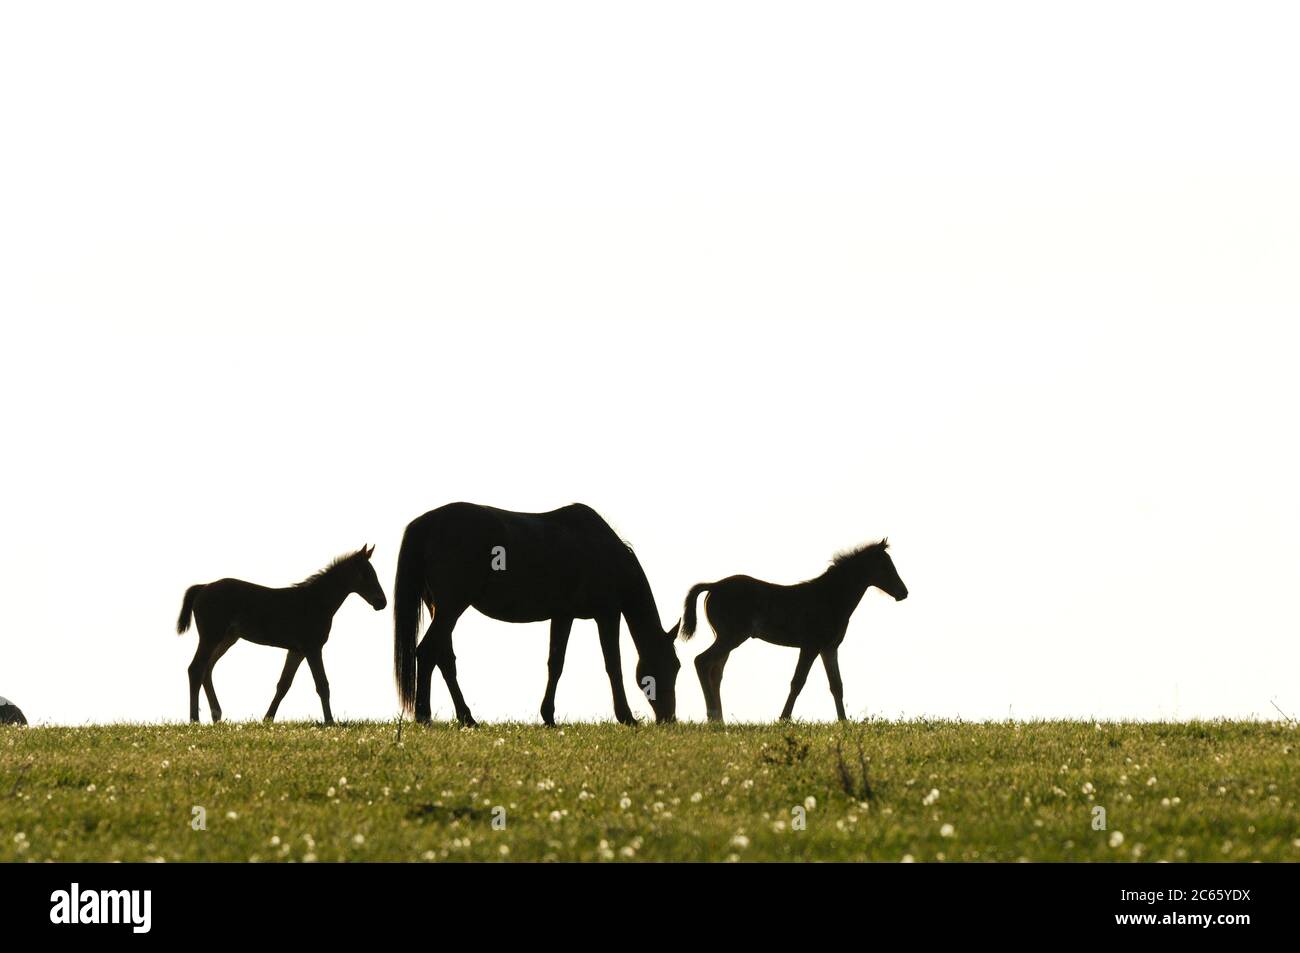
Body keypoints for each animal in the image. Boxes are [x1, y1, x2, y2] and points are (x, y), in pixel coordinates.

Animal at [176, 545, 387, 724]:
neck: (315, 601)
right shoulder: (312, 648)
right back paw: (195, 720)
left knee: (207, 669)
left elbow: (283, 685)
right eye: (366, 574)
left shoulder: (296, 651)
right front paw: (330, 722)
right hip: (211, 637)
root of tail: (203, 587)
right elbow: (322, 685)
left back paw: (216, 716)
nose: (382, 602)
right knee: (196, 669)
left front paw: (267, 719)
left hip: (227, 639)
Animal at [393, 502, 681, 726]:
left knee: (443, 659)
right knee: (427, 653)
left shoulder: (564, 616)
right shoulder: (608, 614)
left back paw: (466, 717)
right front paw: (626, 717)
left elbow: (556, 664)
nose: (669, 718)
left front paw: (548, 715)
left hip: (441, 610)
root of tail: (427, 524)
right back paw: (425, 716)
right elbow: (613, 665)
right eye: (672, 665)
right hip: (451, 608)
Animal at [680, 539, 907, 723]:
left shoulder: (829, 648)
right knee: (702, 661)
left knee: (715, 671)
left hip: (726, 639)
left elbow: (836, 685)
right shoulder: (810, 646)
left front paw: (844, 722)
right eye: (885, 566)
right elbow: (798, 682)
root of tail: (714, 586)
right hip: (731, 637)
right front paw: (784, 718)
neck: (829, 597)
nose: (903, 592)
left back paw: (720, 720)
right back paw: (713, 717)